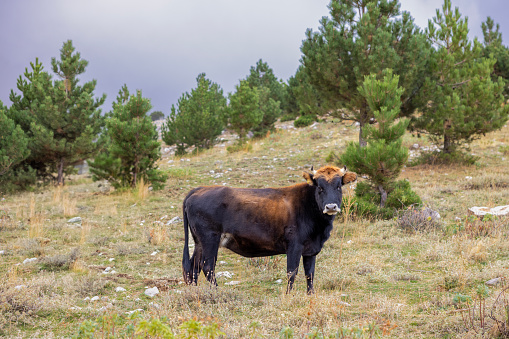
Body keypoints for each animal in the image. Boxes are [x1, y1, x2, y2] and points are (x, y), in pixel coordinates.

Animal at [181, 166, 356, 294]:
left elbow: (310, 273)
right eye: (320, 187)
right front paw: (289, 295)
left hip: (199, 242)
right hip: (210, 238)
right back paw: (217, 293)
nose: (331, 207)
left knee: (193, 267)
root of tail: (199, 189)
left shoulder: (310, 249)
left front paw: (310, 295)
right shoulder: (294, 245)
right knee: (207, 266)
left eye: (338, 186)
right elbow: (292, 272)